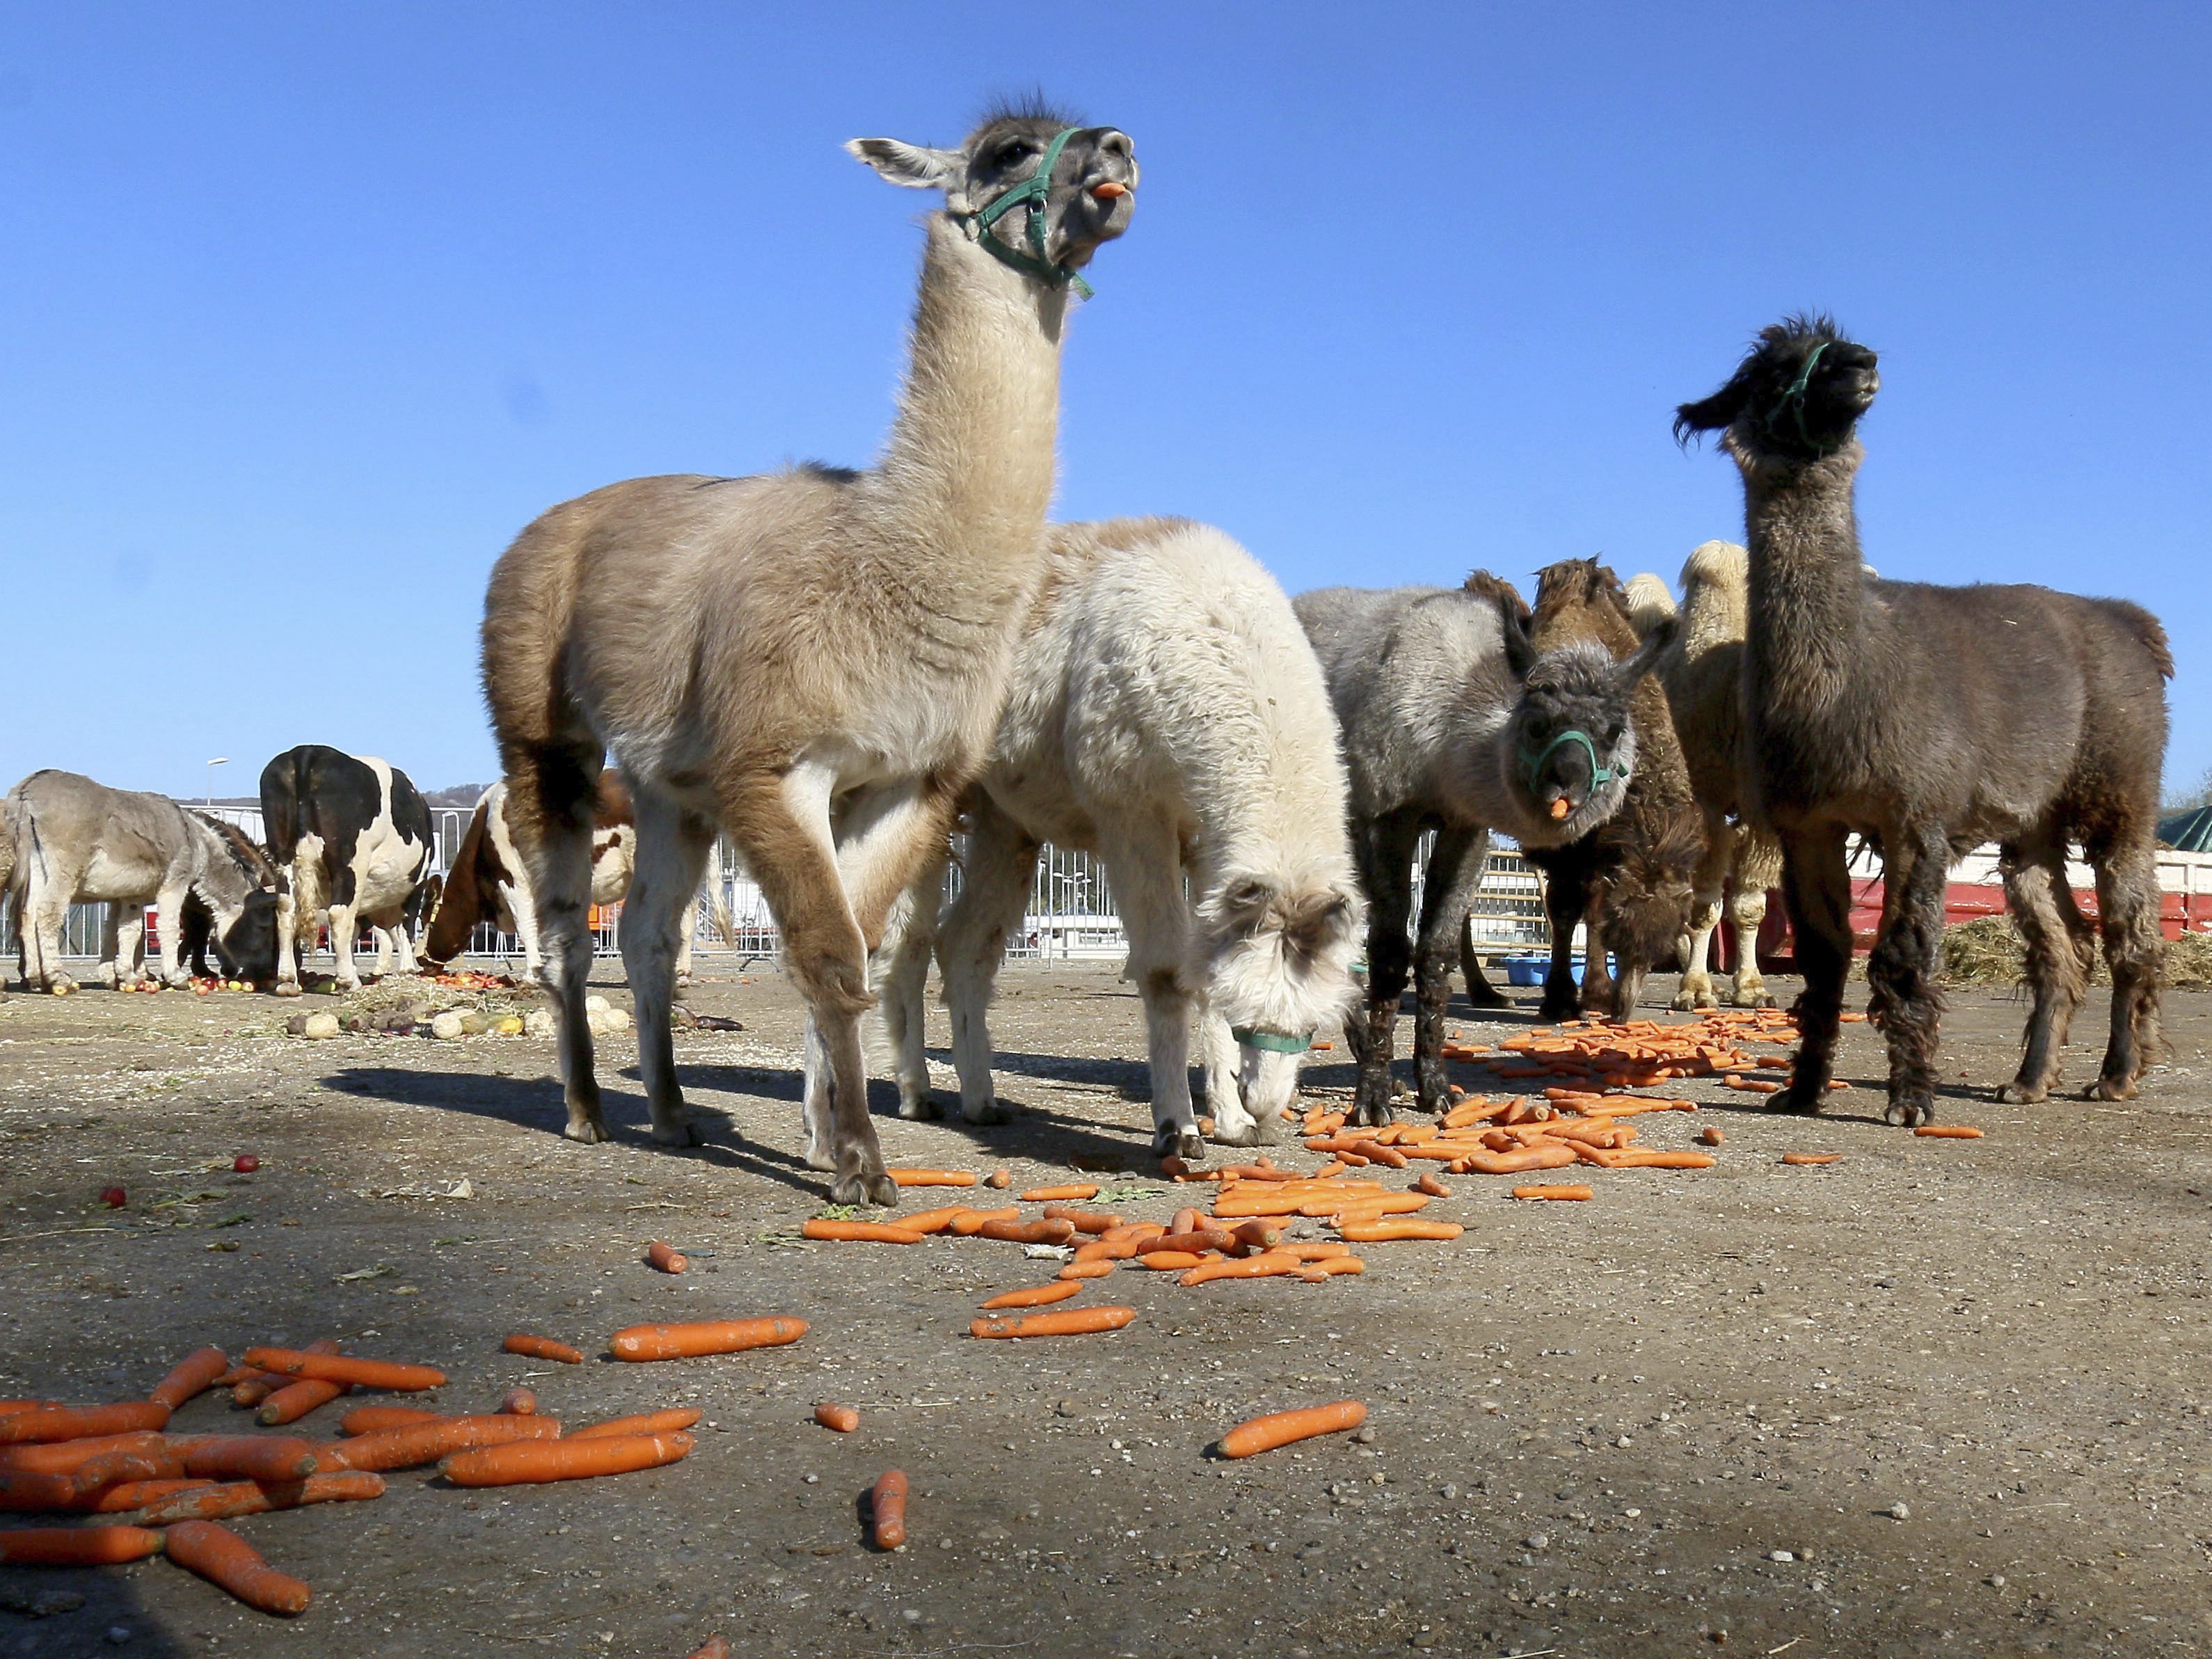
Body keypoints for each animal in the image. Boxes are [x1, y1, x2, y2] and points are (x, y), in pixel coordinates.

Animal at [261, 747, 438, 995]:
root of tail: (308, 751)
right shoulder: (417, 883)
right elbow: (407, 927)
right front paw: (407, 970)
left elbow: (356, 932)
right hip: (350, 863)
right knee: (339, 915)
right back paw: (348, 982)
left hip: (283, 858)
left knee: (286, 911)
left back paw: (288, 981)